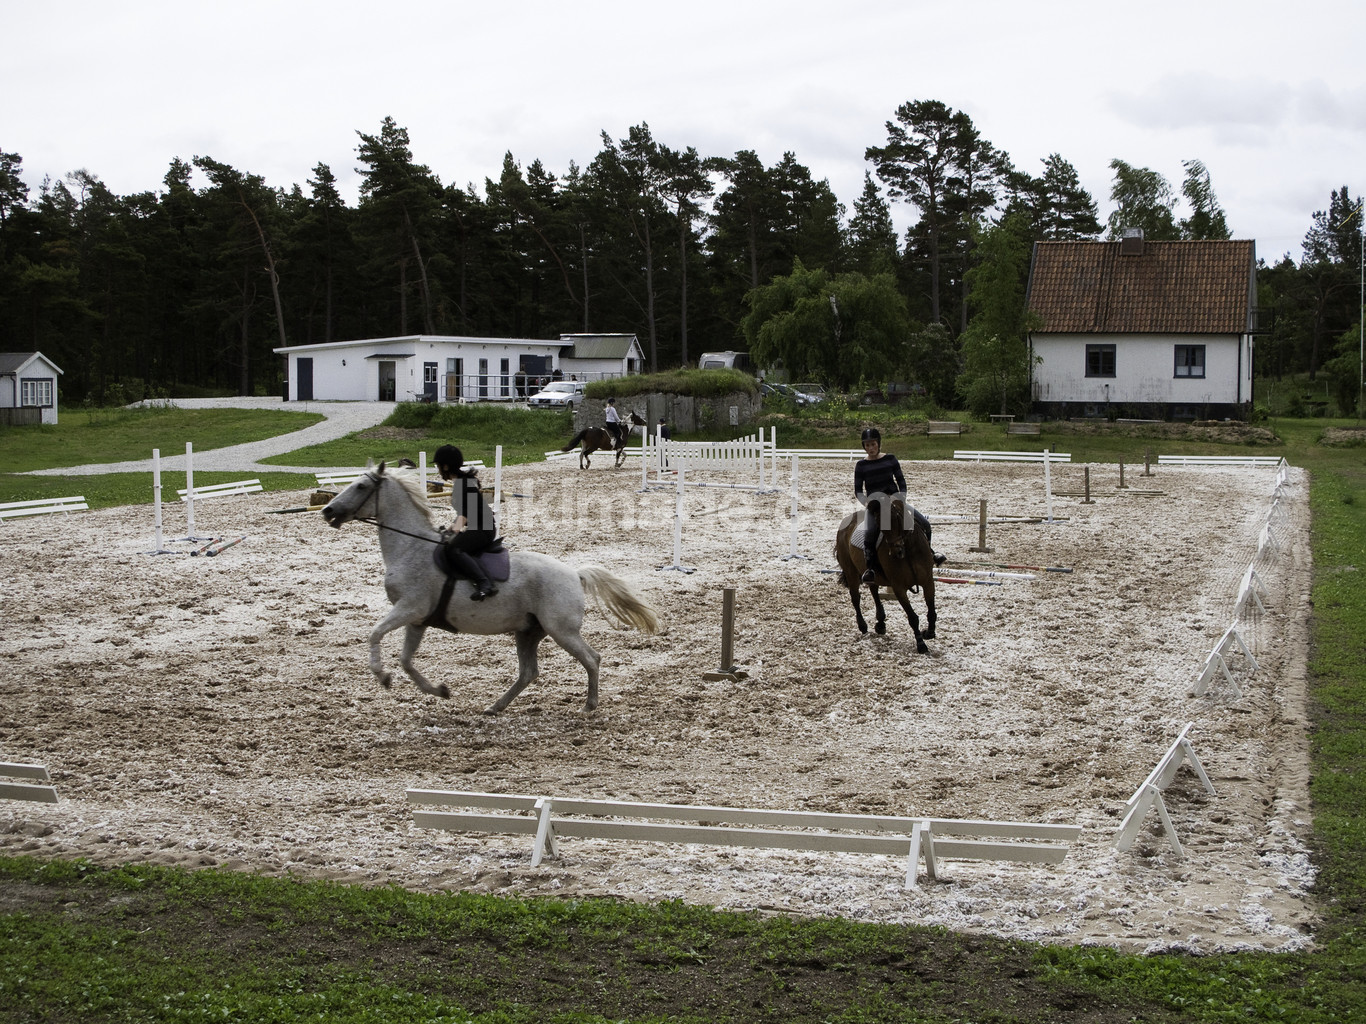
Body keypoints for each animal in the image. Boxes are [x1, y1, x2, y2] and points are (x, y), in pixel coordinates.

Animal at [321, 462, 659, 713]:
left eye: (360, 487)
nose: (328, 511)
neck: (409, 548)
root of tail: (574, 574)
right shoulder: (417, 620)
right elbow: (406, 660)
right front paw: (438, 690)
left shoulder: (409, 608)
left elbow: (375, 633)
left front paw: (382, 676)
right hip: (528, 631)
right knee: (529, 672)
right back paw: (496, 706)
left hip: (561, 629)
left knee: (591, 658)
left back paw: (589, 704)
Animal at [833, 496, 937, 652]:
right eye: (879, 524)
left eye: (897, 520)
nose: (896, 552)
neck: (909, 551)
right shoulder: (898, 587)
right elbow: (912, 617)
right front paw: (921, 644)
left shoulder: (928, 581)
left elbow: (931, 610)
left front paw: (929, 632)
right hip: (850, 571)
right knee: (855, 598)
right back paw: (863, 625)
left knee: (874, 591)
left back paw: (880, 623)